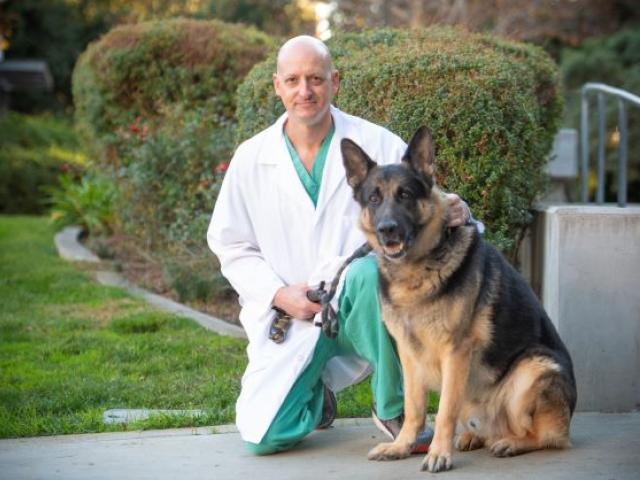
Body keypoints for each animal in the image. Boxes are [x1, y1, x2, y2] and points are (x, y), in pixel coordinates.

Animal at [342, 126, 576, 472]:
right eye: (374, 198)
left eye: (405, 194)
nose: (387, 230)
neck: (417, 271)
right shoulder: (409, 355)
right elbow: (414, 408)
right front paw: (401, 446)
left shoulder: (455, 352)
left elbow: (443, 412)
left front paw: (438, 453)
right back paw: (474, 436)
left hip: (534, 368)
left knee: (547, 436)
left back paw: (511, 442)